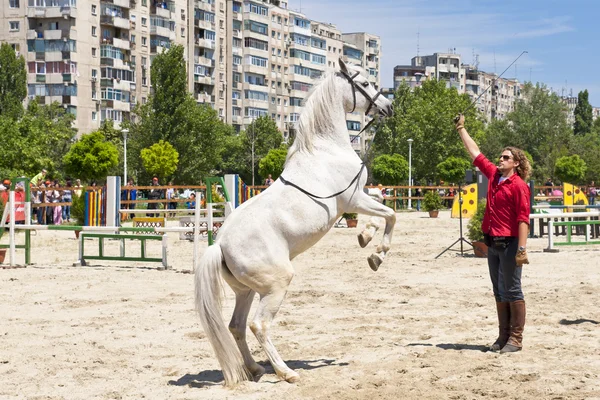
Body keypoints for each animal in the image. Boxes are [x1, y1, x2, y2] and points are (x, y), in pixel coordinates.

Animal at [195, 60, 396, 388]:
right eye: (365, 82)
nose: (388, 107)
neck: (327, 148)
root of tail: (220, 244)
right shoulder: (352, 200)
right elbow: (390, 214)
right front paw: (377, 254)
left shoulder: (357, 198)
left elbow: (382, 202)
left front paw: (366, 238)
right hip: (276, 285)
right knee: (258, 325)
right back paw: (285, 372)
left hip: (246, 291)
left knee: (236, 326)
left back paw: (256, 369)